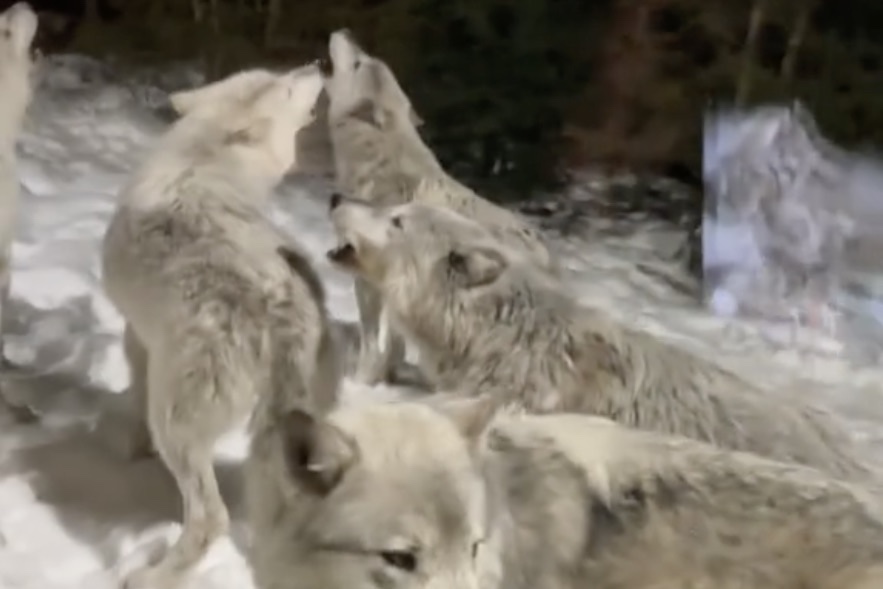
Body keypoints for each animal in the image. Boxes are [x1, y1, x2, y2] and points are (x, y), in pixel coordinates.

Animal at [100, 64, 340, 589]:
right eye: (284, 82)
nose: (318, 65)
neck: (207, 160)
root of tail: (281, 305)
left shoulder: (136, 336)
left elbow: (133, 401)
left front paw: (129, 451)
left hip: (177, 426)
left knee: (212, 520)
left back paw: (149, 576)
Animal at [323, 28, 556, 386]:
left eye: (359, 61)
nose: (346, 31)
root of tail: (545, 251)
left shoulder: (369, 284)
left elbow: (373, 342)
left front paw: (363, 382)